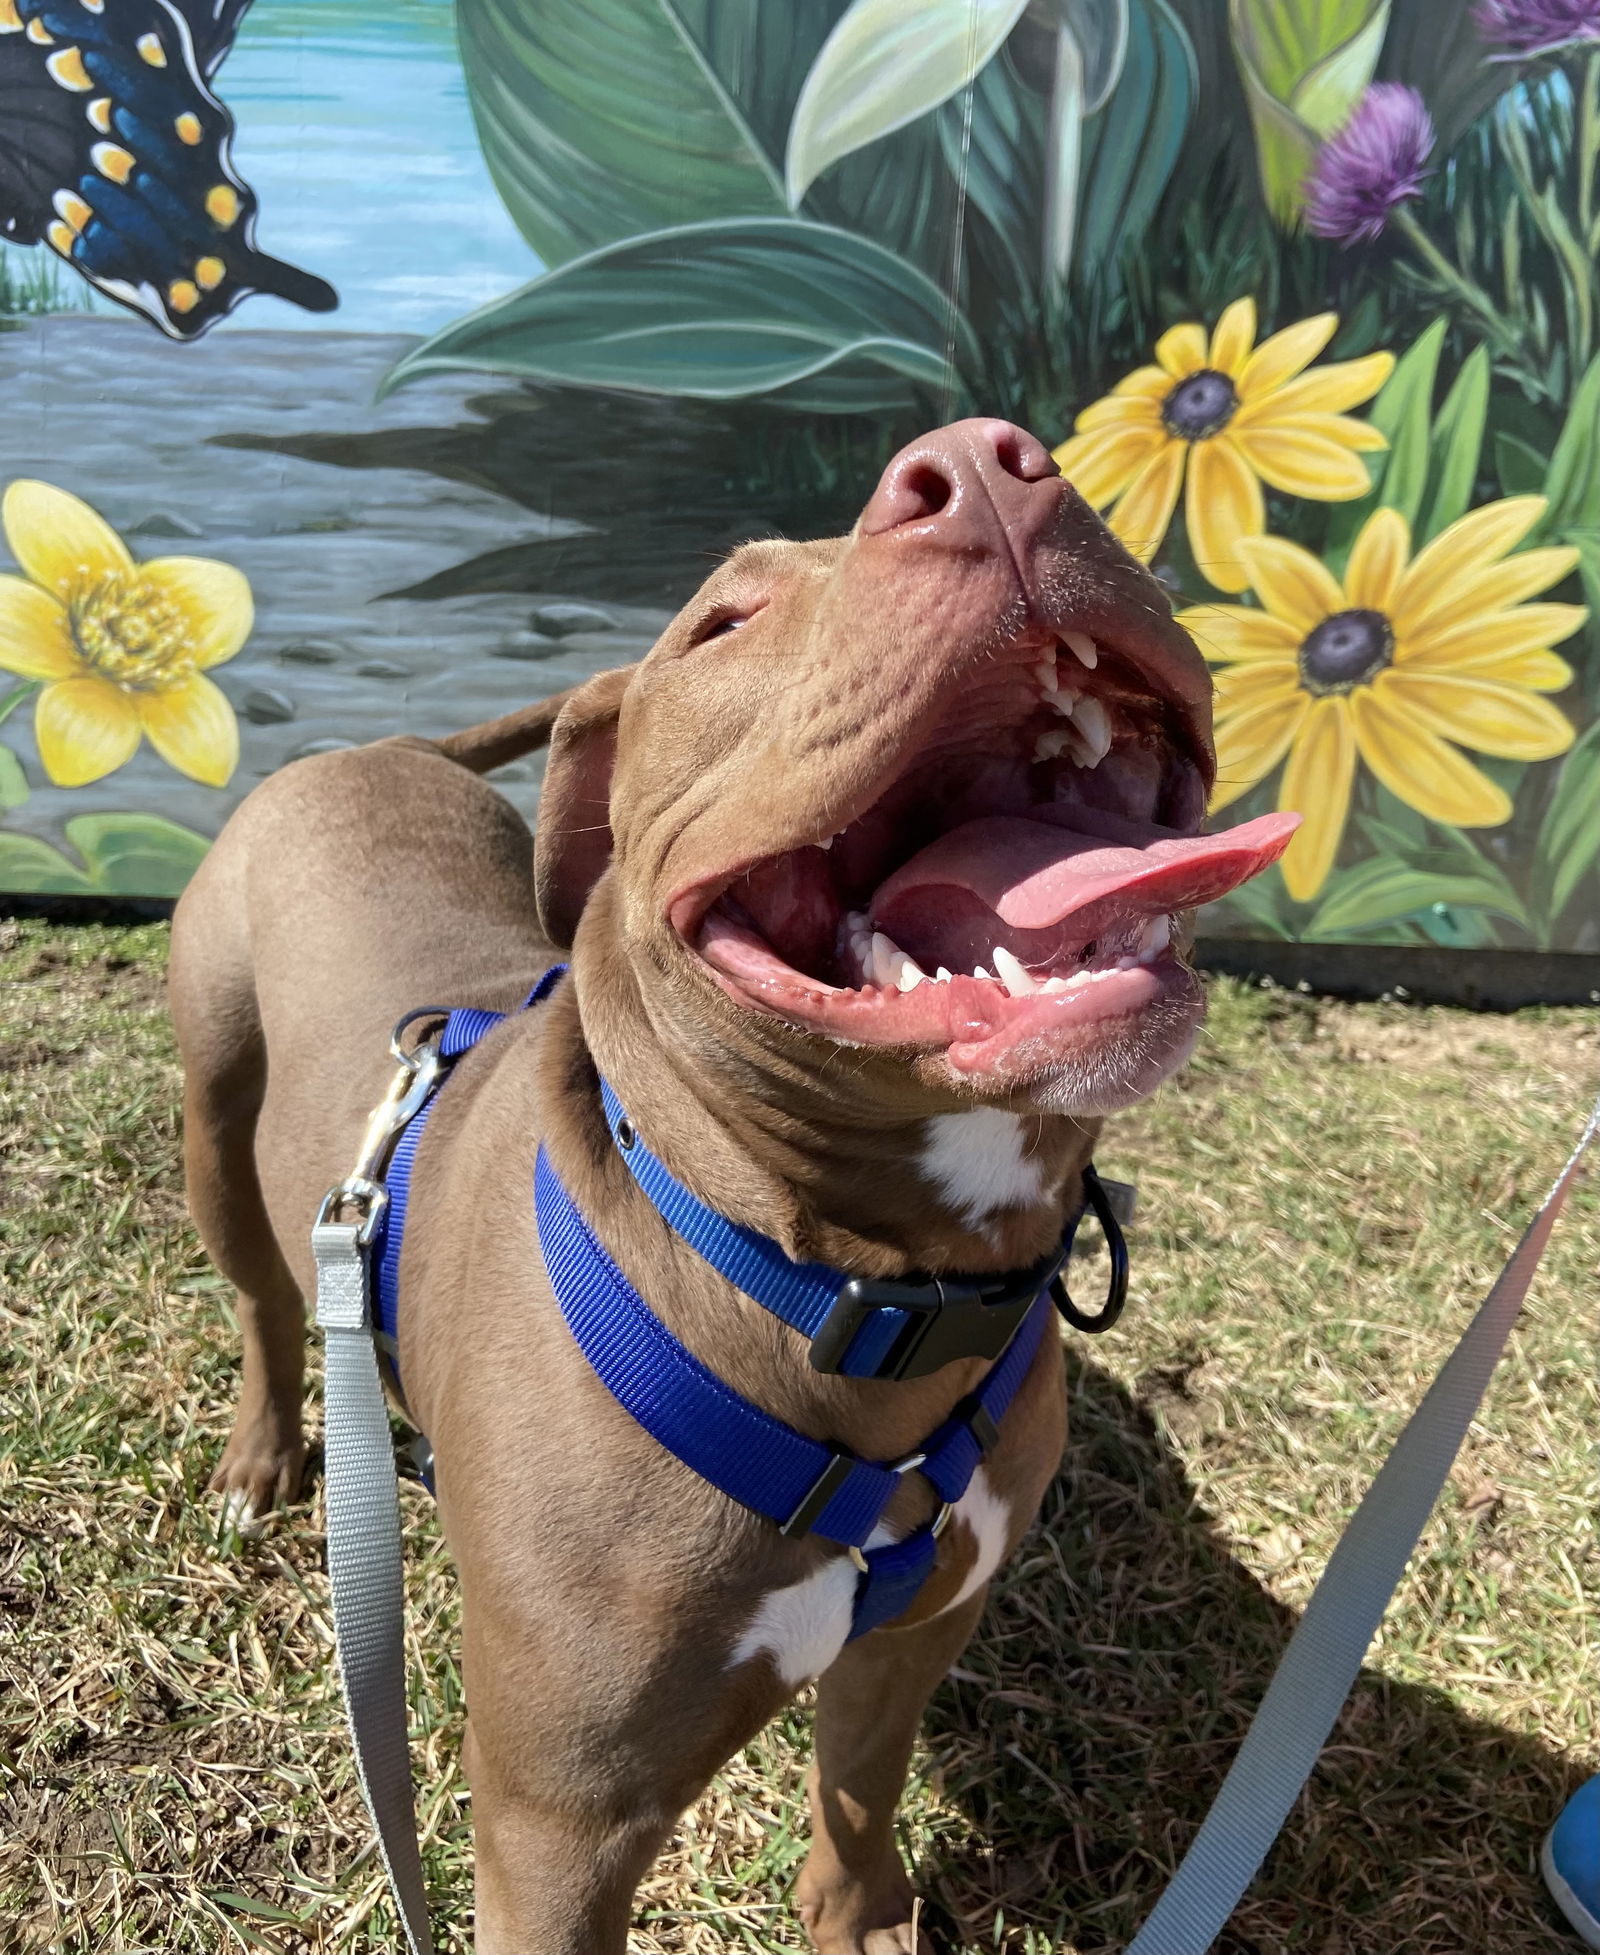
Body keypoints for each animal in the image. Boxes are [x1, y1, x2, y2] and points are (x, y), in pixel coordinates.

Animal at [168, 424, 1290, 1955]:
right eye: (722, 621)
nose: (982, 464)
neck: (852, 1292)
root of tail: (372, 747)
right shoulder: (560, 1828)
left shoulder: (917, 1631)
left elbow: (861, 1781)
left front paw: (861, 1915)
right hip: (216, 1112)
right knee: (264, 1298)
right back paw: (265, 1452)